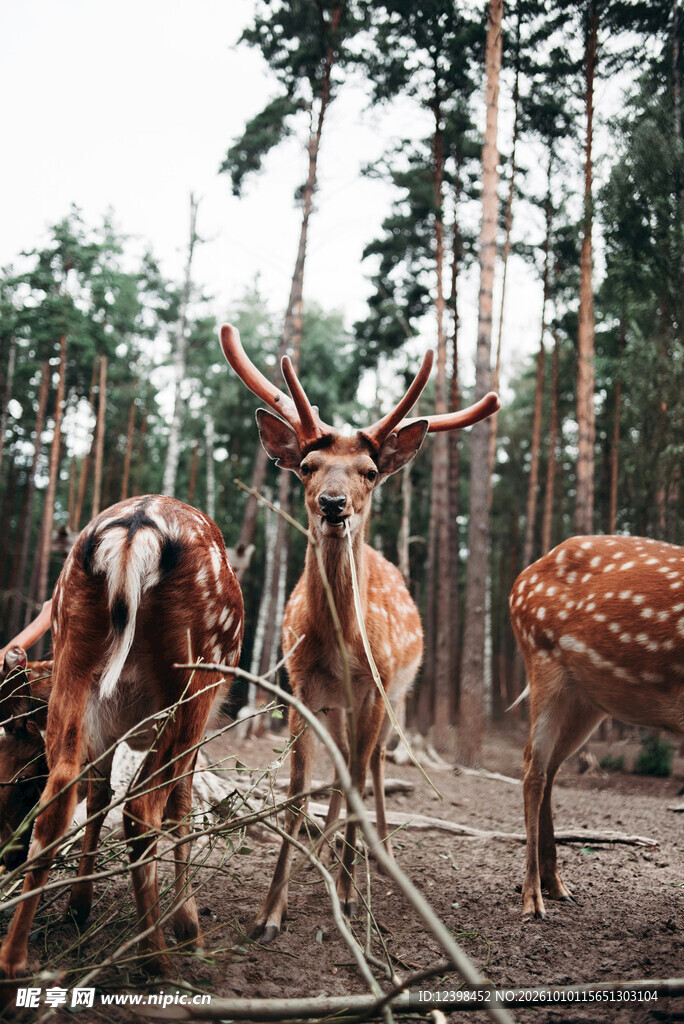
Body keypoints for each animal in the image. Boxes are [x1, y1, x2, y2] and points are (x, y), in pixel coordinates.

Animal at [0, 495, 244, 984]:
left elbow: (98, 796)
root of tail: (135, 530)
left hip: (74, 651)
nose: (6, 856)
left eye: (18, 773)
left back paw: (13, 959)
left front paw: (78, 908)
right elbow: (180, 810)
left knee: (60, 797)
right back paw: (158, 960)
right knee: (141, 809)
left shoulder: (106, 730)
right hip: (194, 679)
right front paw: (189, 927)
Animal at [220, 322, 500, 942]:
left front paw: (346, 896)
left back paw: (375, 858)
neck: (338, 647)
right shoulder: (301, 689)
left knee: (369, 768)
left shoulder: (375, 690)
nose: (333, 504)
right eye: (307, 465)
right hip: (340, 708)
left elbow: (355, 781)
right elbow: (299, 791)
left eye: (370, 473)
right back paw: (329, 860)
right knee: (346, 771)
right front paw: (270, 912)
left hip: (395, 694)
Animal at [509, 534, 684, 923]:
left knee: (550, 768)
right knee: (533, 769)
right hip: (542, 660)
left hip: (588, 701)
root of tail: (520, 579)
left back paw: (558, 887)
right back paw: (533, 901)